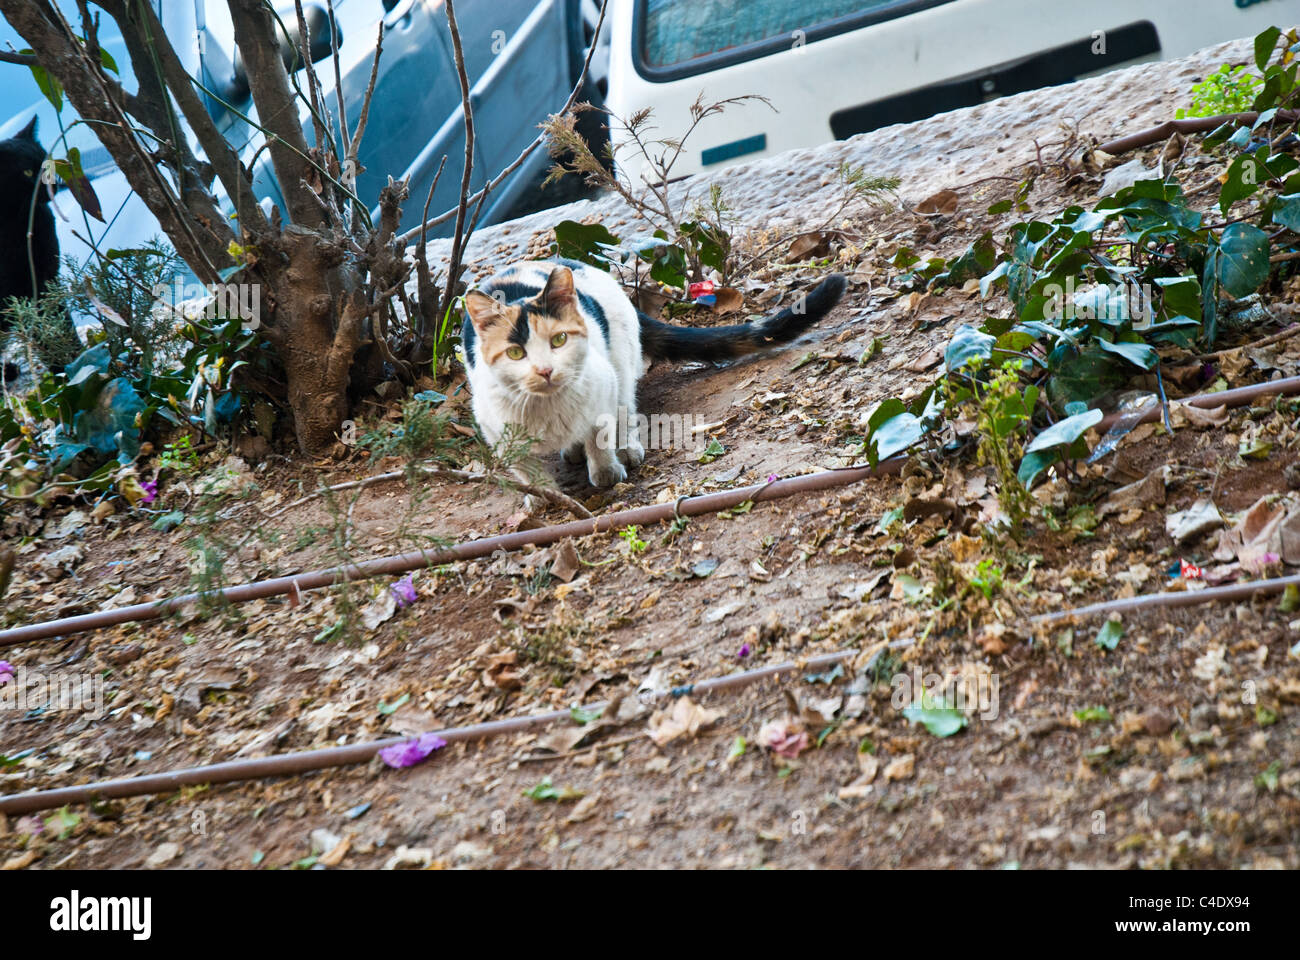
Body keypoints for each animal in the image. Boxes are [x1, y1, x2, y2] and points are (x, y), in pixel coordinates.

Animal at [462, 260, 847, 489]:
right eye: (515, 353)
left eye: (558, 340)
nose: (545, 370)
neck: (549, 407)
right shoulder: (495, 430)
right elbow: (526, 472)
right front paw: (545, 498)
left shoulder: (603, 384)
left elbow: (601, 430)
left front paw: (606, 471)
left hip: (619, 358)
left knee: (625, 406)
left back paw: (626, 448)